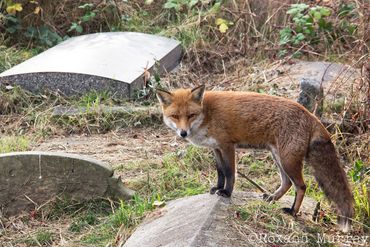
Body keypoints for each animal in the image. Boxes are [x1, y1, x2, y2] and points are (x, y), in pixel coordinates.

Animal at [155, 84, 352, 232]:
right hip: (278, 157)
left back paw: (292, 212)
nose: (183, 133)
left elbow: (230, 172)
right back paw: (272, 199)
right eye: (175, 116)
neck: (207, 114)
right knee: (287, 183)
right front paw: (217, 188)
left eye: (190, 115)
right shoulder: (216, 149)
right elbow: (220, 172)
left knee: (301, 186)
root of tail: (311, 115)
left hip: (288, 160)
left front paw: (226, 193)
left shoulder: (227, 146)